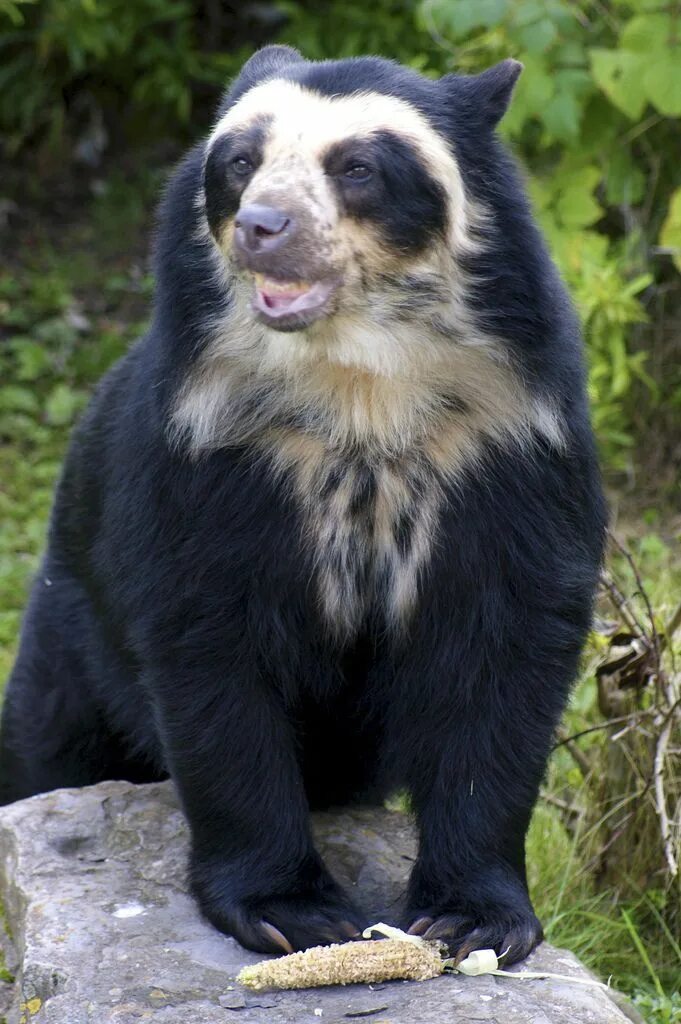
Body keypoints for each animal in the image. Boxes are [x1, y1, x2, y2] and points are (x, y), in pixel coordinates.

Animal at [0, 44, 606, 962]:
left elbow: (503, 654)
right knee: (46, 754)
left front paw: (469, 919)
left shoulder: (511, 445)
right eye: (239, 163)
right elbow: (211, 655)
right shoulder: (206, 445)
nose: (262, 227)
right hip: (70, 636)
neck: (355, 383)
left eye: (357, 168)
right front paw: (296, 914)